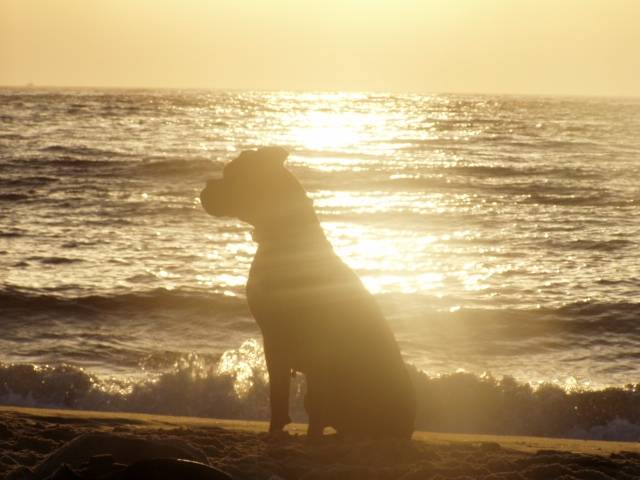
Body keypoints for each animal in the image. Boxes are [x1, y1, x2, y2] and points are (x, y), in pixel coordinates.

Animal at [200, 146, 416, 438]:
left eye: (231, 174)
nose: (205, 188)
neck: (284, 235)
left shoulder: (314, 345)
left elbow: (302, 393)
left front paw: (306, 436)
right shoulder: (273, 340)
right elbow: (278, 394)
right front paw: (277, 429)